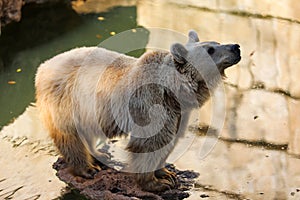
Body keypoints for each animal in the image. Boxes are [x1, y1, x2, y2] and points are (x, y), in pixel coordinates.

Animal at [34, 30, 241, 192]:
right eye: (210, 49)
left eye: (217, 43)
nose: (236, 47)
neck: (172, 90)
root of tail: (43, 66)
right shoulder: (150, 102)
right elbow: (151, 142)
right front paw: (157, 183)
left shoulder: (177, 112)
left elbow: (169, 139)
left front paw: (167, 173)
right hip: (66, 100)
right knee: (69, 135)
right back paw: (87, 168)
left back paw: (99, 155)